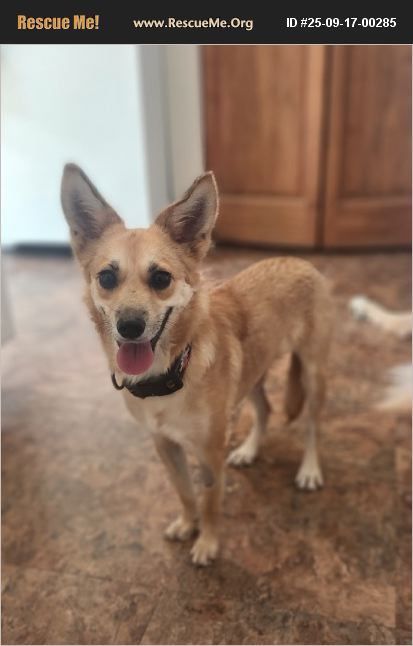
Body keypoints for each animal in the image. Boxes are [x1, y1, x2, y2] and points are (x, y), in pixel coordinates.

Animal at [61, 164, 333, 565]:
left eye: (161, 278)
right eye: (106, 277)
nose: (130, 326)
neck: (173, 371)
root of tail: (299, 261)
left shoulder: (209, 452)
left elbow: (210, 501)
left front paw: (208, 542)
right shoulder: (165, 445)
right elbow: (185, 492)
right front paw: (187, 525)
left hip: (313, 374)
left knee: (313, 427)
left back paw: (310, 470)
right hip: (251, 374)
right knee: (265, 410)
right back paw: (250, 450)